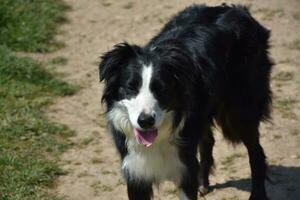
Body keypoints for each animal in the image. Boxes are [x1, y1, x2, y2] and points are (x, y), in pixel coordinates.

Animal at [99, 3, 272, 200]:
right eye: (130, 87)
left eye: (161, 89)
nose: (145, 121)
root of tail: (240, 9)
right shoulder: (136, 171)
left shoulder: (184, 167)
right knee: (208, 140)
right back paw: (203, 183)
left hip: (241, 109)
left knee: (256, 152)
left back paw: (257, 194)